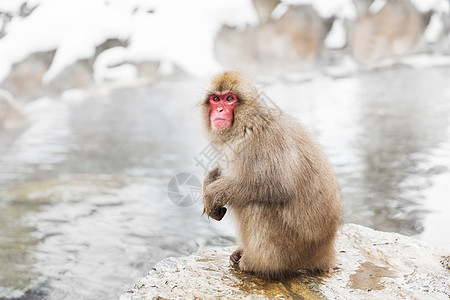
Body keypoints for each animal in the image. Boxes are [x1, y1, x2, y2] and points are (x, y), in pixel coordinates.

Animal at [200, 71, 342, 280]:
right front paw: (209, 180)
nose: (219, 109)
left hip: (290, 250)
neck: (247, 123)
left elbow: (276, 186)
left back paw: (258, 264)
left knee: (256, 204)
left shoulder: (263, 142)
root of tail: (325, 252)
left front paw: (212, 193)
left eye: (230, 99)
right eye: (215, 99)